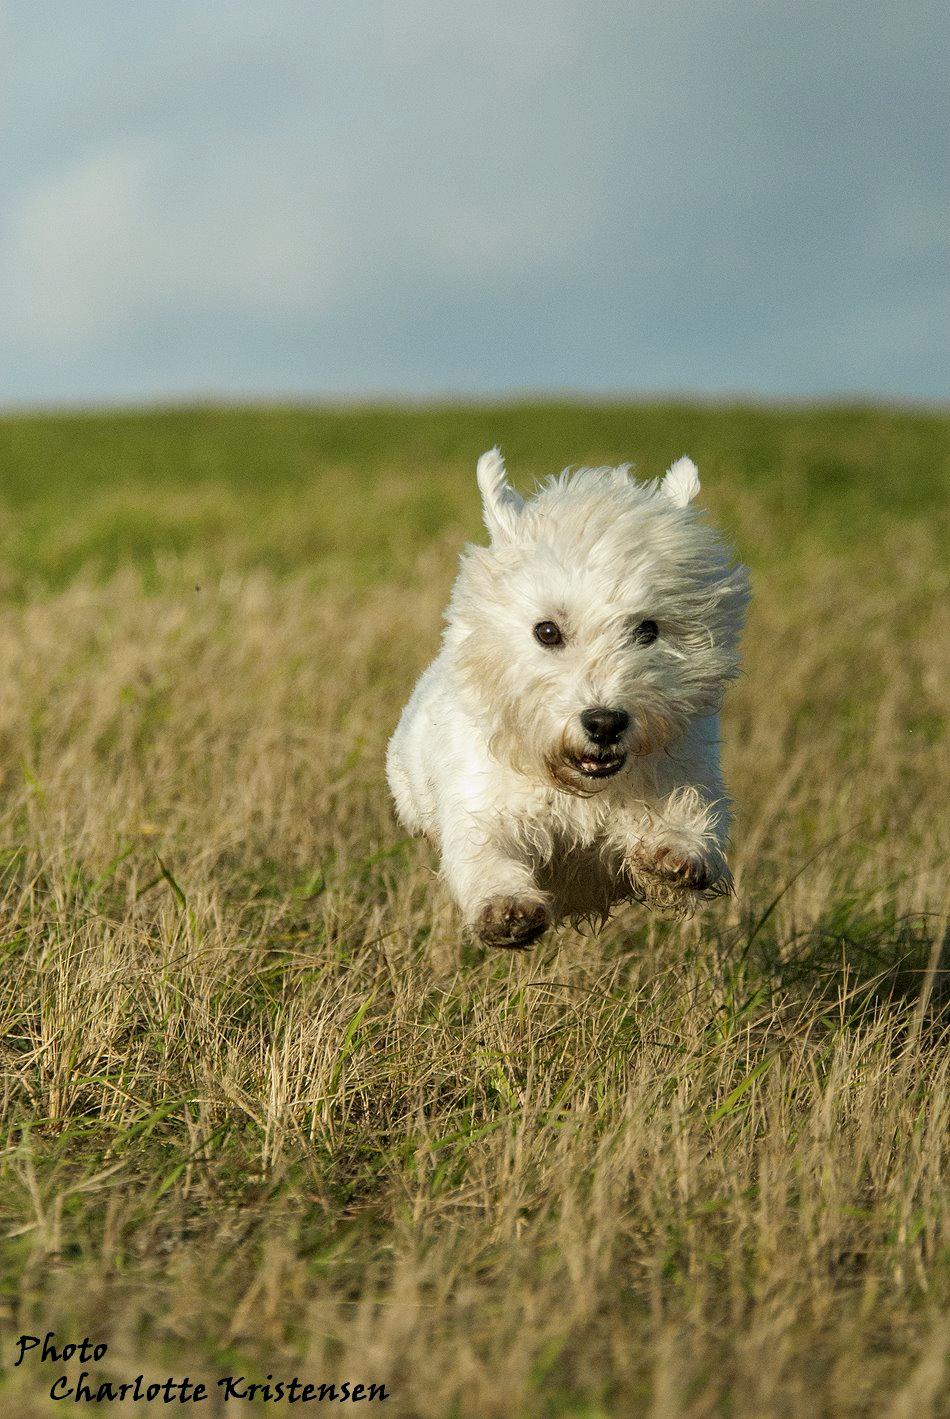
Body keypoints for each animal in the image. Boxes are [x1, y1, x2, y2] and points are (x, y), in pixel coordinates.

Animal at [386, 448, 749, 947]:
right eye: (547, 631)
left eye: (647, 629)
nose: (605, 724)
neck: (577, 787)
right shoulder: (481, 802)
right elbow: (485, 853)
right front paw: (506, 909)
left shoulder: (688, 773)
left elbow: (689, 819)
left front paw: (675, 852)